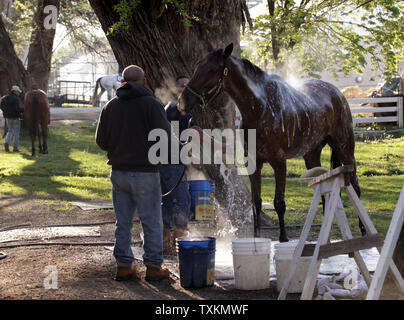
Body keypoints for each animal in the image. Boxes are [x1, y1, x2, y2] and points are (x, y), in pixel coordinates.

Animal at [181, 43, 364, 242]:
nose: (183, 100)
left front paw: (283, 238)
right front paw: (257, 237)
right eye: (197, 66)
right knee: (323, 193)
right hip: (311, 156)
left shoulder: (279, 163)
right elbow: (256, 204)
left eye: (212, 70)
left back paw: (363, 230)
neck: (260, 108)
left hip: (345, 149)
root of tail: (337, 93)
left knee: (355, 187)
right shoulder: (254, 164)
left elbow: (279, 203)